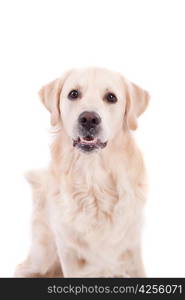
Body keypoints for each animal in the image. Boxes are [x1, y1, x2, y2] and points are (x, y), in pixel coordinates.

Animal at [14, 67, 150, 276]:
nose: (89, 119)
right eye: (73, 94)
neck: (93, 178)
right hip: (43, 257)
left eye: (111, 97)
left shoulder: (131, 245)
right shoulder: (68, 250)